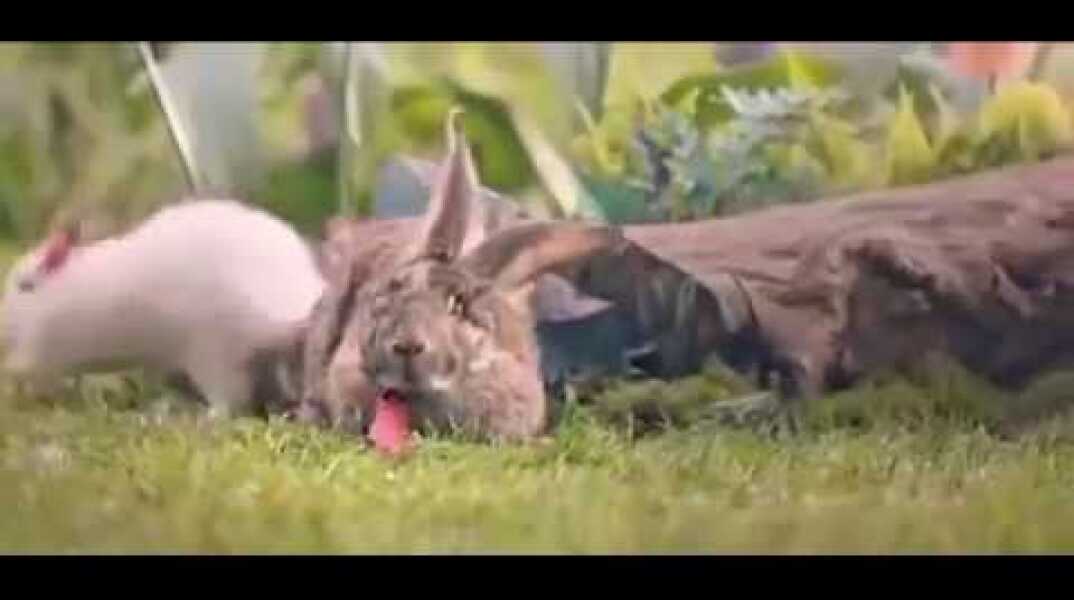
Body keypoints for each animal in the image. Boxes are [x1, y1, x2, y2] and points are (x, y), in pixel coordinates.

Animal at [0, 198, 326, 419]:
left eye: (24, 285)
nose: (3, 325)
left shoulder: (47, 347)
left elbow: (26, 366)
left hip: (212, 356)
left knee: (227, 405)